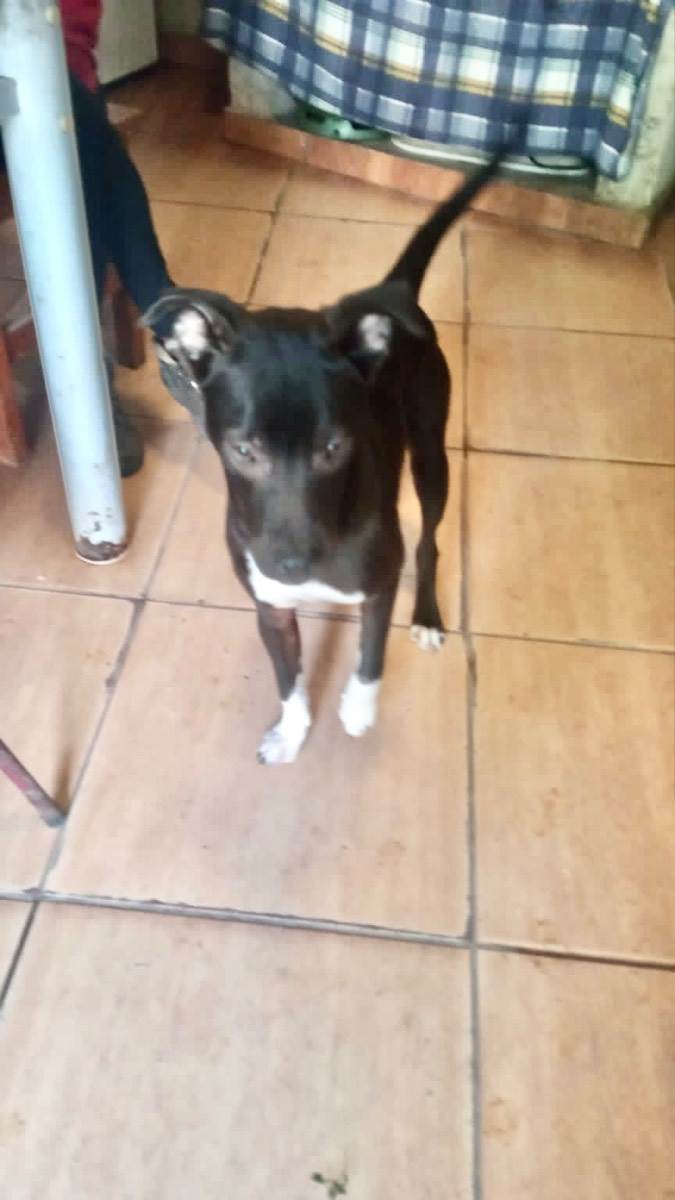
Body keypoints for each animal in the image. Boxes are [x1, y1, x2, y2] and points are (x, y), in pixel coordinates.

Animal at [144, 156, 501, 764]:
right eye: (244, 450)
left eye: (333, 448)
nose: (293, 567)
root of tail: (391, 292)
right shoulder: (270, 609)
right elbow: (287, 677)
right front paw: (291, 732)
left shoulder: (380, 583)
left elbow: (371, 651)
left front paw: (358, 707)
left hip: (431, 454)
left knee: (429, 540)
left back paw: (427, 615)